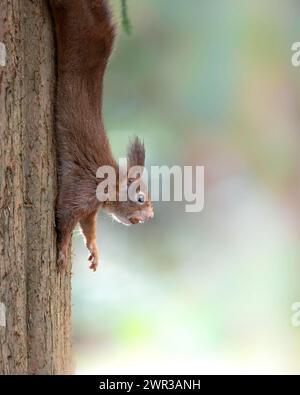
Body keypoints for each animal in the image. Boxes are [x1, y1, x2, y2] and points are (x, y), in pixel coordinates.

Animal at [49, 0, 155, 270]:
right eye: (141, 197)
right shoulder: (83, 188)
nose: (151, 216)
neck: (109, 183)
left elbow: (88, 226)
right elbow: (64, 217)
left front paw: (95, 250)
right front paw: (63, 250)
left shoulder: (90, 209)